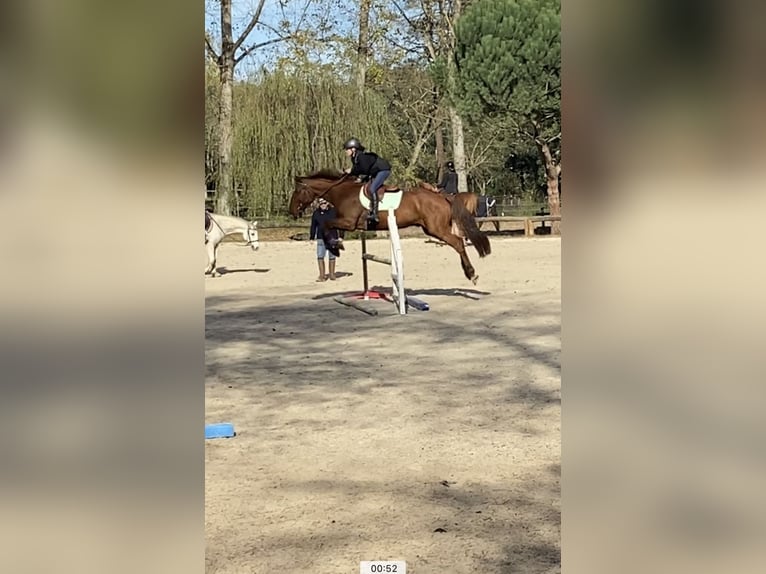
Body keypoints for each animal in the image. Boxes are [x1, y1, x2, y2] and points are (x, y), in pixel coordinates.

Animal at [288, 172, 492, 286]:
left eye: (298, 191)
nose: (291, 211)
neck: (343, 193)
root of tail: (442, 196)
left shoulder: (348, 222)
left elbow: (325, 225)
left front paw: (336, 247)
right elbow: (327, 228)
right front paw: (336, 245)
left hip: (437, 229)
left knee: (458, 243)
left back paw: (471, 274)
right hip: (430, 229)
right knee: (458, 242)